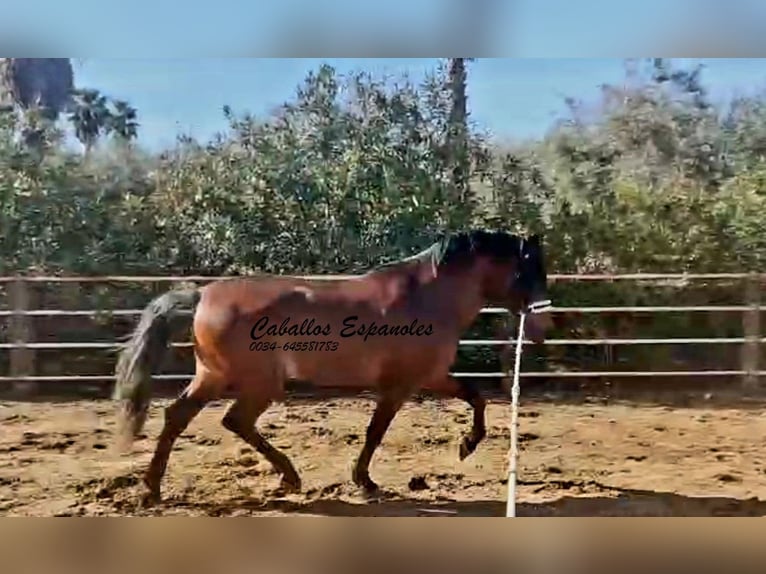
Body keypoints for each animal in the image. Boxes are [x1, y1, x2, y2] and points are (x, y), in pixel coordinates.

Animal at [113, 229, 553, 506]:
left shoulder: (430, 377)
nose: (543, 329)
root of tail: (203, 294)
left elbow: (476, 398)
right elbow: (376, 431)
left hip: (214, 376)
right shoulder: (406, 383)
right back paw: (287, 478)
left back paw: (152, 490)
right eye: (529, 271)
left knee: (179, 416)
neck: (429, 296)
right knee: (234, 421)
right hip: (257, 383)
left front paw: (466, 445)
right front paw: (366, 482)